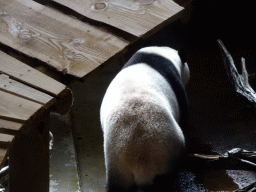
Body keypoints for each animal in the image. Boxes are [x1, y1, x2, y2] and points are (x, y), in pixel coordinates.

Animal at [100, 46, 190, 192]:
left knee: (116, 186)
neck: (161, 53)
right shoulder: (174, 82)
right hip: (168, 153)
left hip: (116, 164)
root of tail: (141, 165)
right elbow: (184, 113)